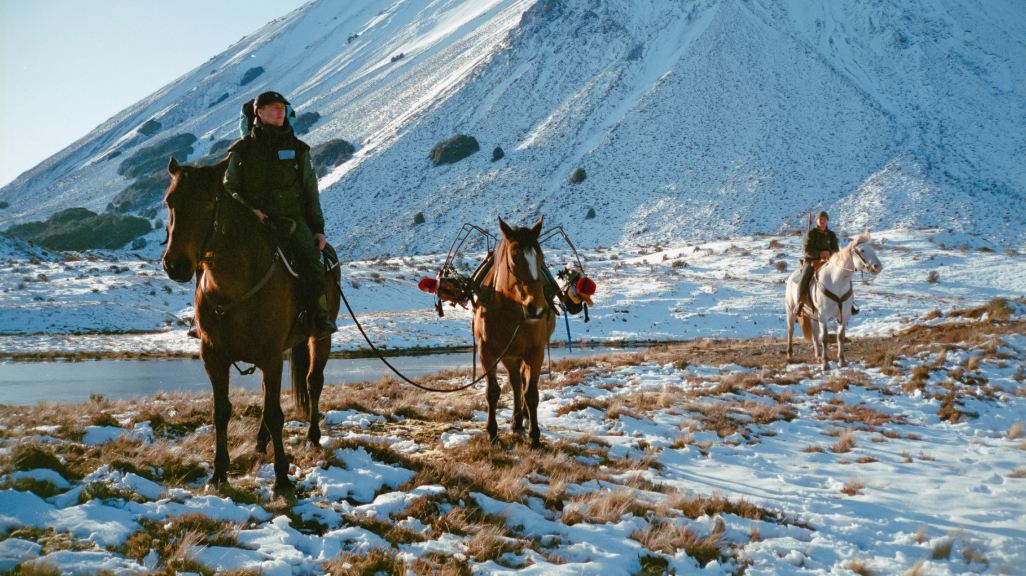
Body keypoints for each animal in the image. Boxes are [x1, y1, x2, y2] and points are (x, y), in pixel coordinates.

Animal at [160, 156, 341, 491]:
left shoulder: (270, 356)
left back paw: (313, 437)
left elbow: (275, 413)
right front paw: (219, 473)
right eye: (170, 201)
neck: (233, 286)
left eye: (208, 203)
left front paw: (281, 477)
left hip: (320, 338)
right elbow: (221, 412)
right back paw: (260, 441)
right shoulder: (214, 356)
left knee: (313, 382)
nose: (174, 264)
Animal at [473, 217, 557, 448]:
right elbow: (492, 392)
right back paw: (517, 420)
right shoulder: (487, 353)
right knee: (516, 382)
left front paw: (535, 436)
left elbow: (532, 394)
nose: (536, 308)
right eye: (515, 257)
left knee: (522, 382)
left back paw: (524, 419)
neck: (510, 309)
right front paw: (492, 433)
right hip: (510, 356)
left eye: (540, 256)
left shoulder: (535, 353)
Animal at [785, 231, 882, 369]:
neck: (836, 281)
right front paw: (825, 364)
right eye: (862, 250)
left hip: (814, 317)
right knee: (790, 330)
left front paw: (841, 361)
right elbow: (825, 338)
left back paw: (818, 356)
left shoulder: (843, 315)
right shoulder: (823, 316)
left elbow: (840, 337)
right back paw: (790, 355)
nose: (878, 266)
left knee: (814, 334)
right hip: (791, 312)